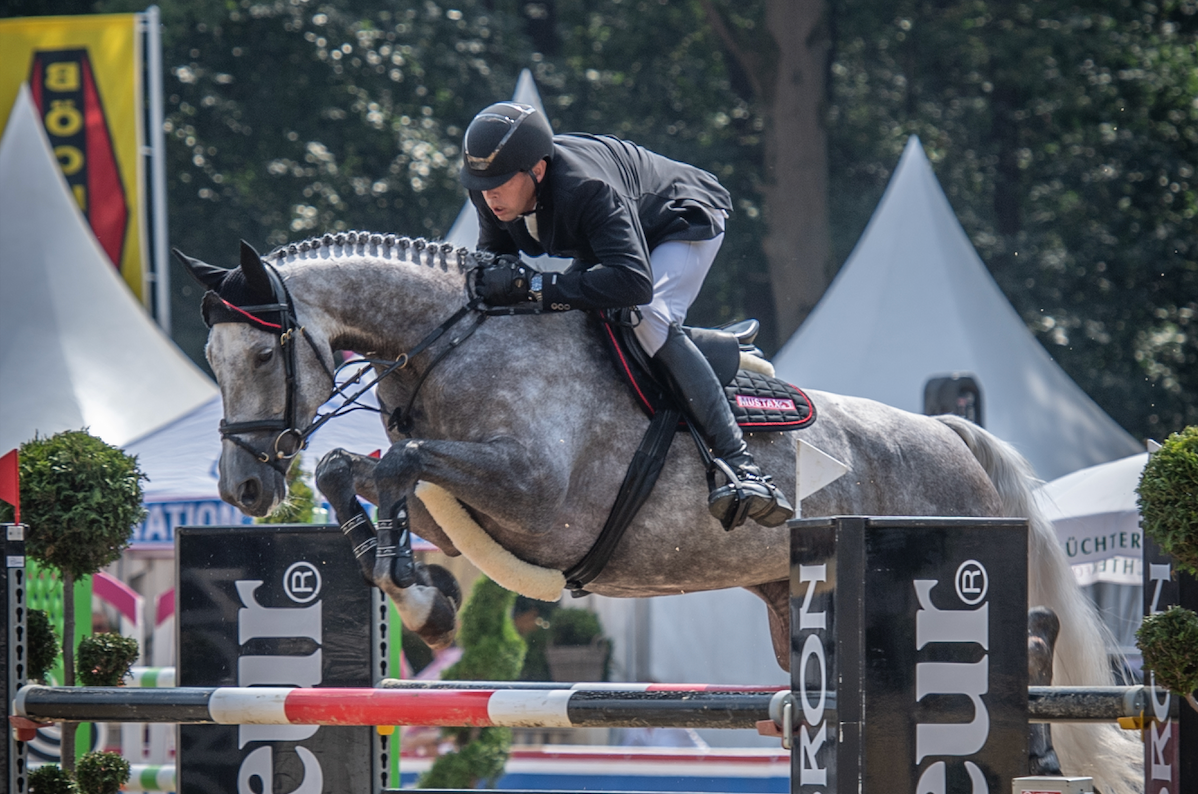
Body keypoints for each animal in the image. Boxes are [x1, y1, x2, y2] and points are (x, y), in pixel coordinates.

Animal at [177, 233, 1140, 790]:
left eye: (261, 353)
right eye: (210, 358)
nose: (242, 490)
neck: (450, 343)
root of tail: (952, 430)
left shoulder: (540, 499)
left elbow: (400, 466)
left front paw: (415, 591)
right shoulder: (466, 514)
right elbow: (356, 470)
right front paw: (418, 595)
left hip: (940, 550)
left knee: (1033, 631)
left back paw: (1042, 758)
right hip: (796, 608)